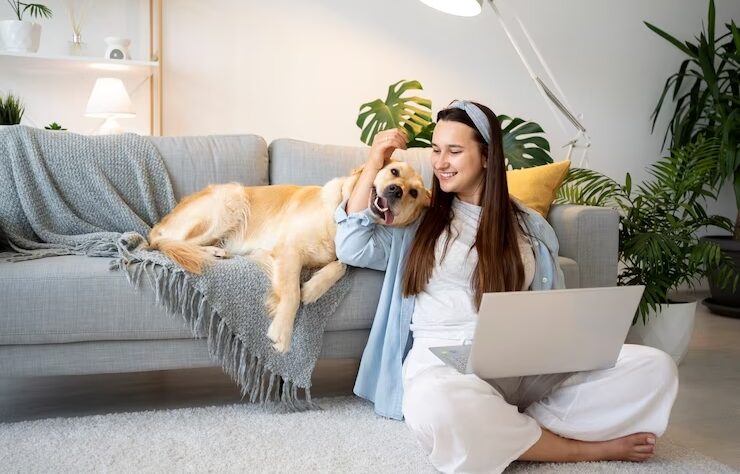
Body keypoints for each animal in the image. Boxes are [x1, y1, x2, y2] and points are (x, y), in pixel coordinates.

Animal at [149, 162, 428, 352]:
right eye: (394, 171)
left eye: (414, 193)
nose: (396, 191)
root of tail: (158, 225)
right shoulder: (288, 249)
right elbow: (292, 293)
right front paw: (282, 332)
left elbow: (341, 265)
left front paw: (313, 288)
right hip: (231, 199)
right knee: (173, 242)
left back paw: (216, 251)